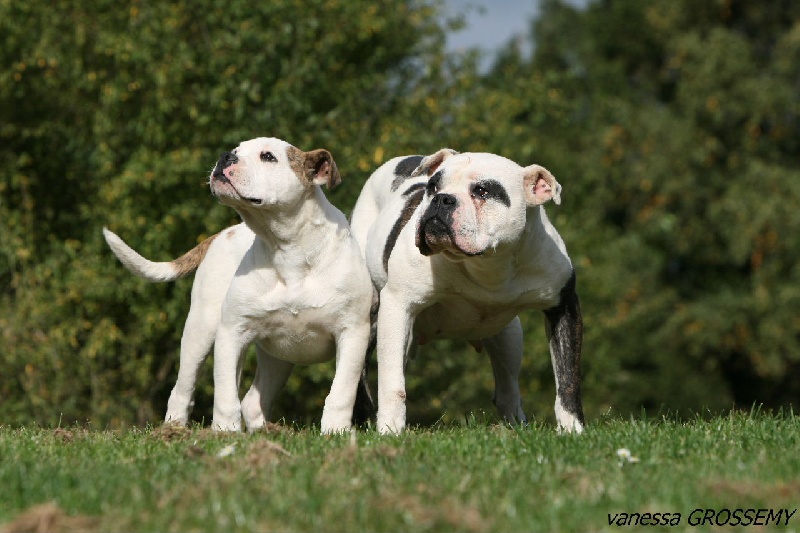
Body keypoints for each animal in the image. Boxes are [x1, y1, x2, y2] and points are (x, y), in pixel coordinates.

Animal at [104, 137, 376, 432]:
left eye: (268, 157)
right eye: (235, 151)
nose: (225, 157)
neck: (286, 249)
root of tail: (222, 234)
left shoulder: (352, 333)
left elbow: (341, 391)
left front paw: (335, 431)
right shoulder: (232, 331)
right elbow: (225, 394)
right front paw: (225, 432)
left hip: (278, 357)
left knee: (253, 399)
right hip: (201, 330)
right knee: (185, 389)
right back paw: (174, 429)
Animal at [354, 149, 584, 432]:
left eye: (482, 191)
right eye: (433, 187)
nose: (442, 199)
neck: (487, 263)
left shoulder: (563, 307)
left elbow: (568, 378)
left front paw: (573, 429)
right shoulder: (398, 305)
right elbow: (392, 382)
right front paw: (390, 429)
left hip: (509, 337)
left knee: (507, 388)